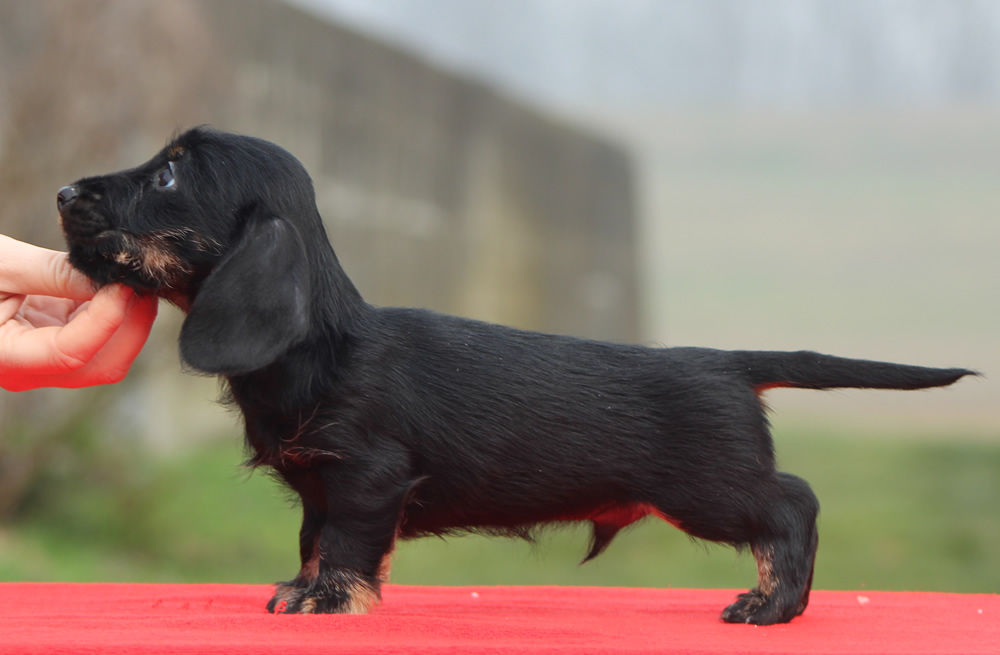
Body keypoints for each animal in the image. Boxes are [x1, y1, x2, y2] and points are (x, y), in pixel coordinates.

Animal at [56, 128, 976, 624]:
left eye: (168, 173)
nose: (63, 189)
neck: (320, 345)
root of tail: (723, 360)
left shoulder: (367, 477)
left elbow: (348, 544)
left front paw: (333, 600)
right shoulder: (320, 485)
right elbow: (314, 540)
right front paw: (304, 587)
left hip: (711, 487)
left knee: (795, 502)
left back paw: (773, 603)